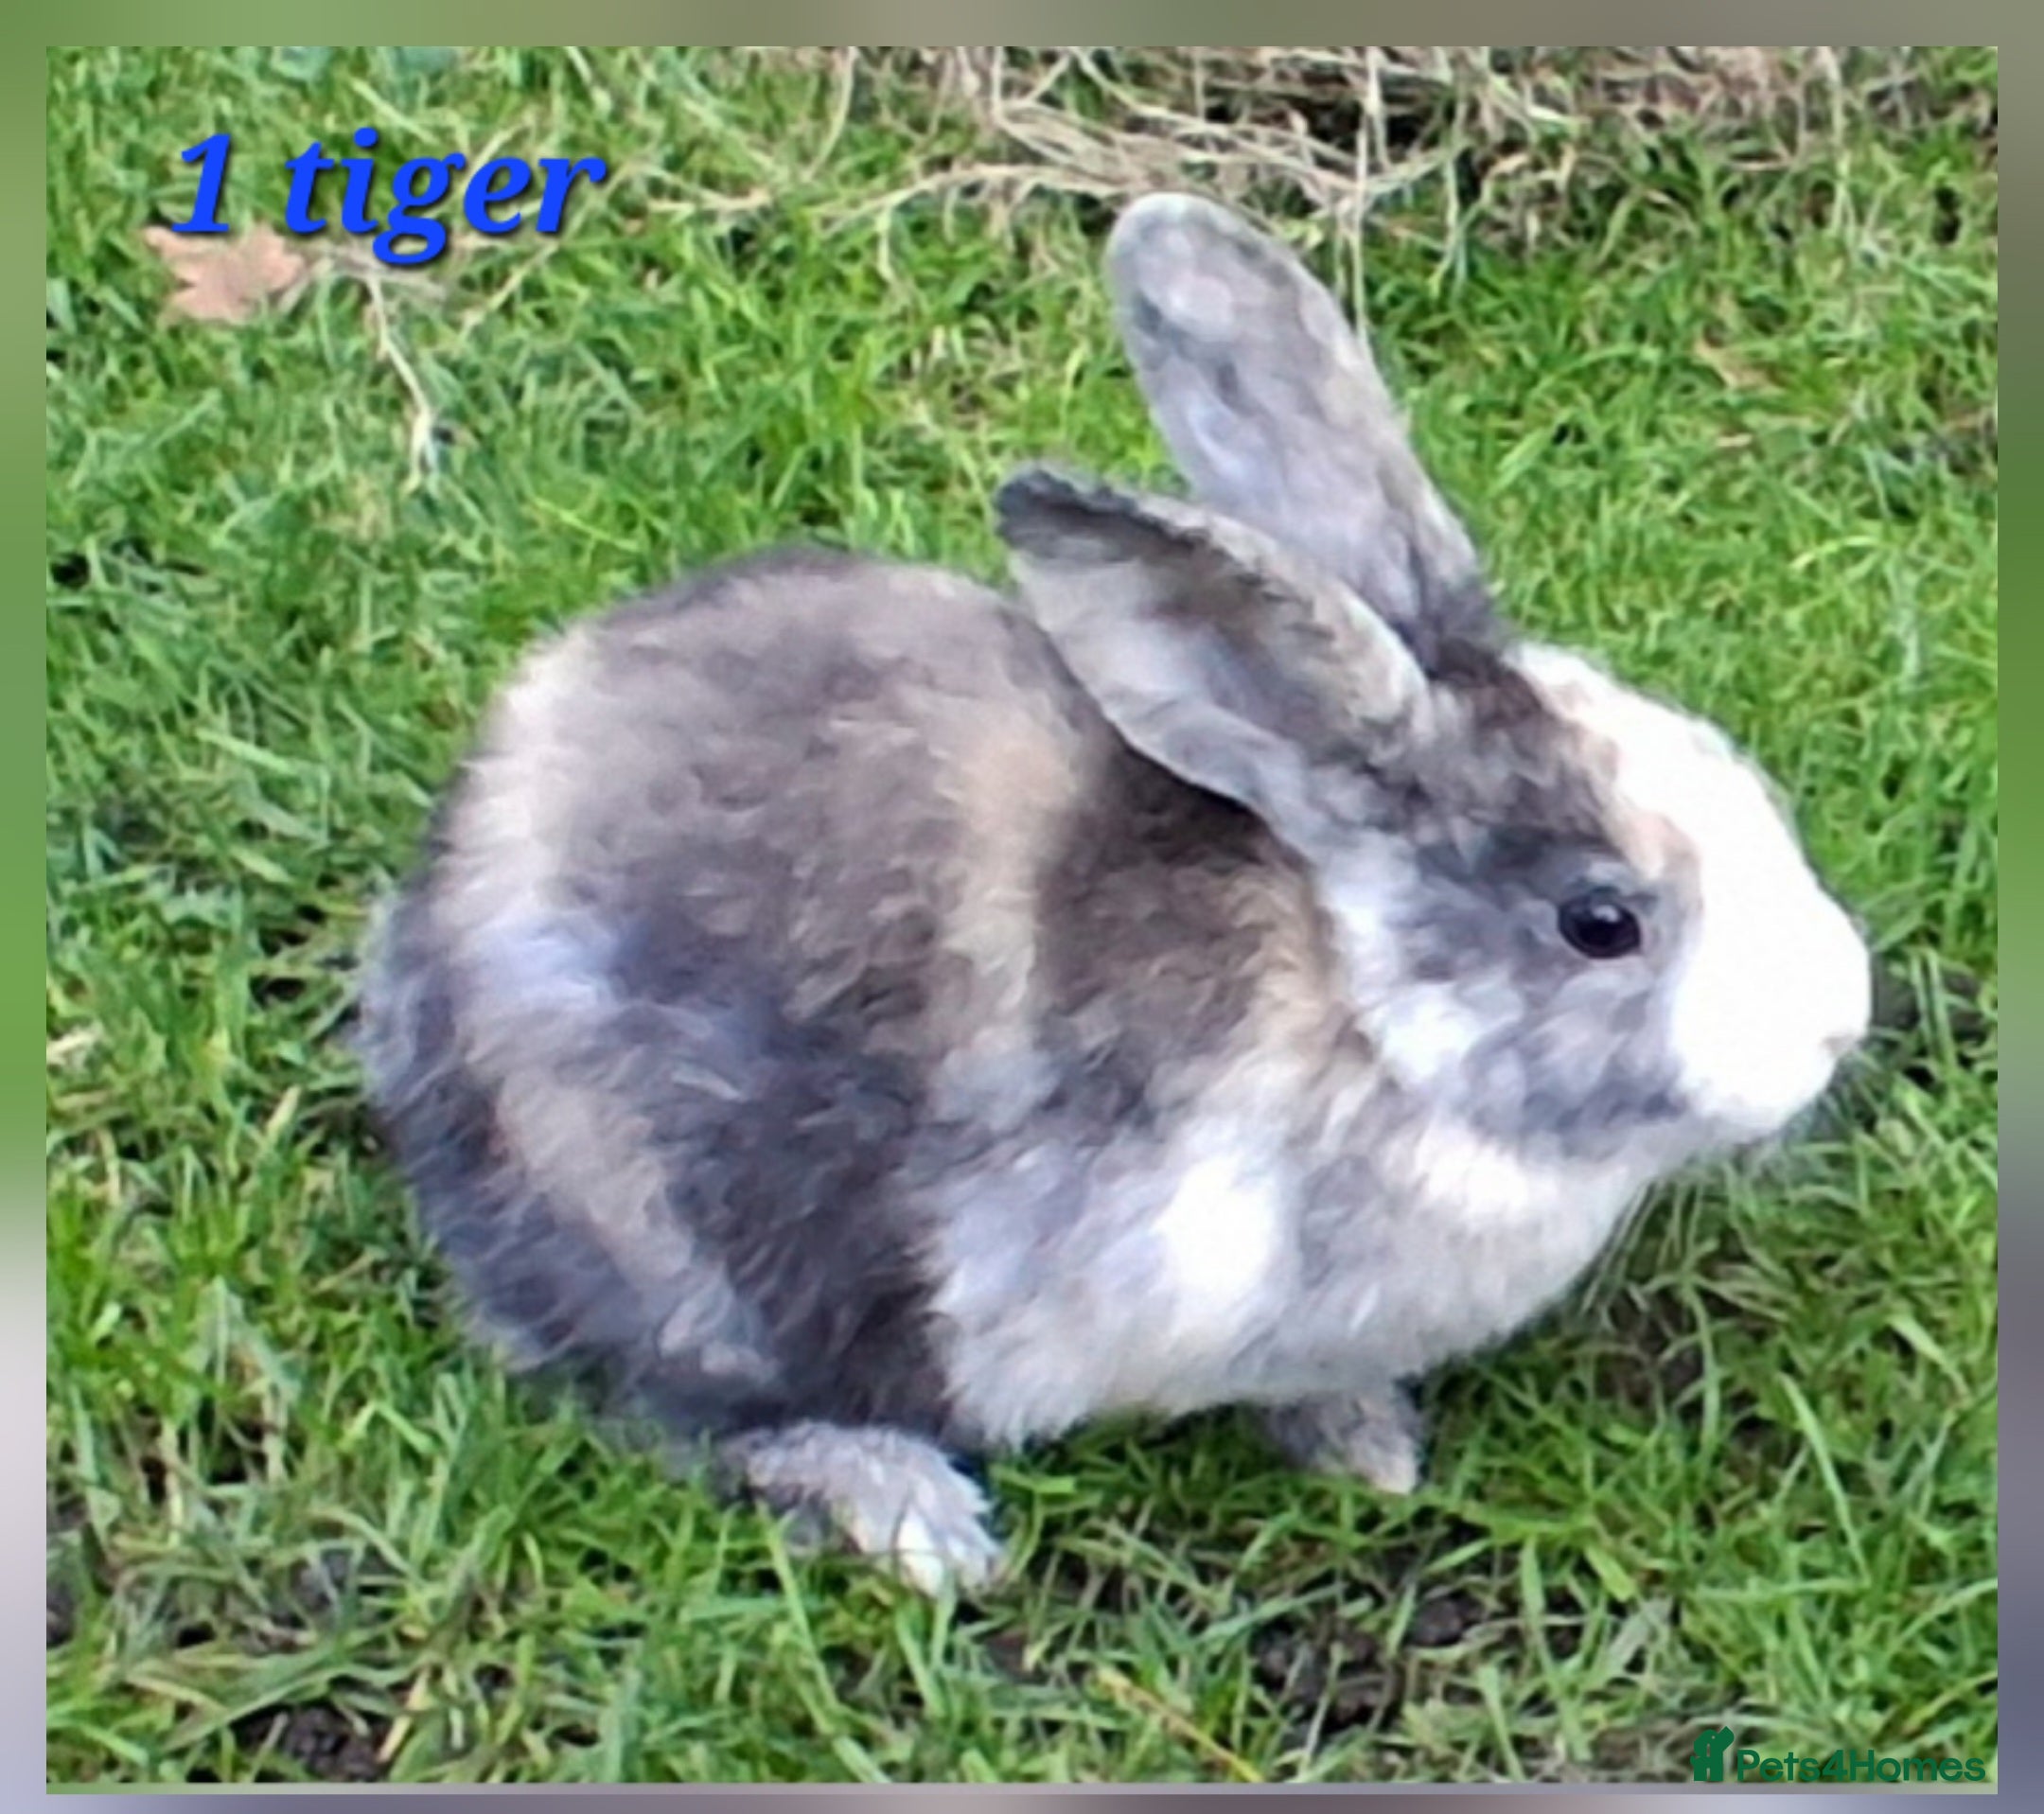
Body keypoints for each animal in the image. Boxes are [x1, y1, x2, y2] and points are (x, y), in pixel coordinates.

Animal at [356, 193, 1872, 1596]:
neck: (1365, 1018)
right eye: (1600, 923)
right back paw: (914, 1518)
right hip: (660, 1239)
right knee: (683, 1407)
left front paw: (1368, 1447)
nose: (1840, 1019)